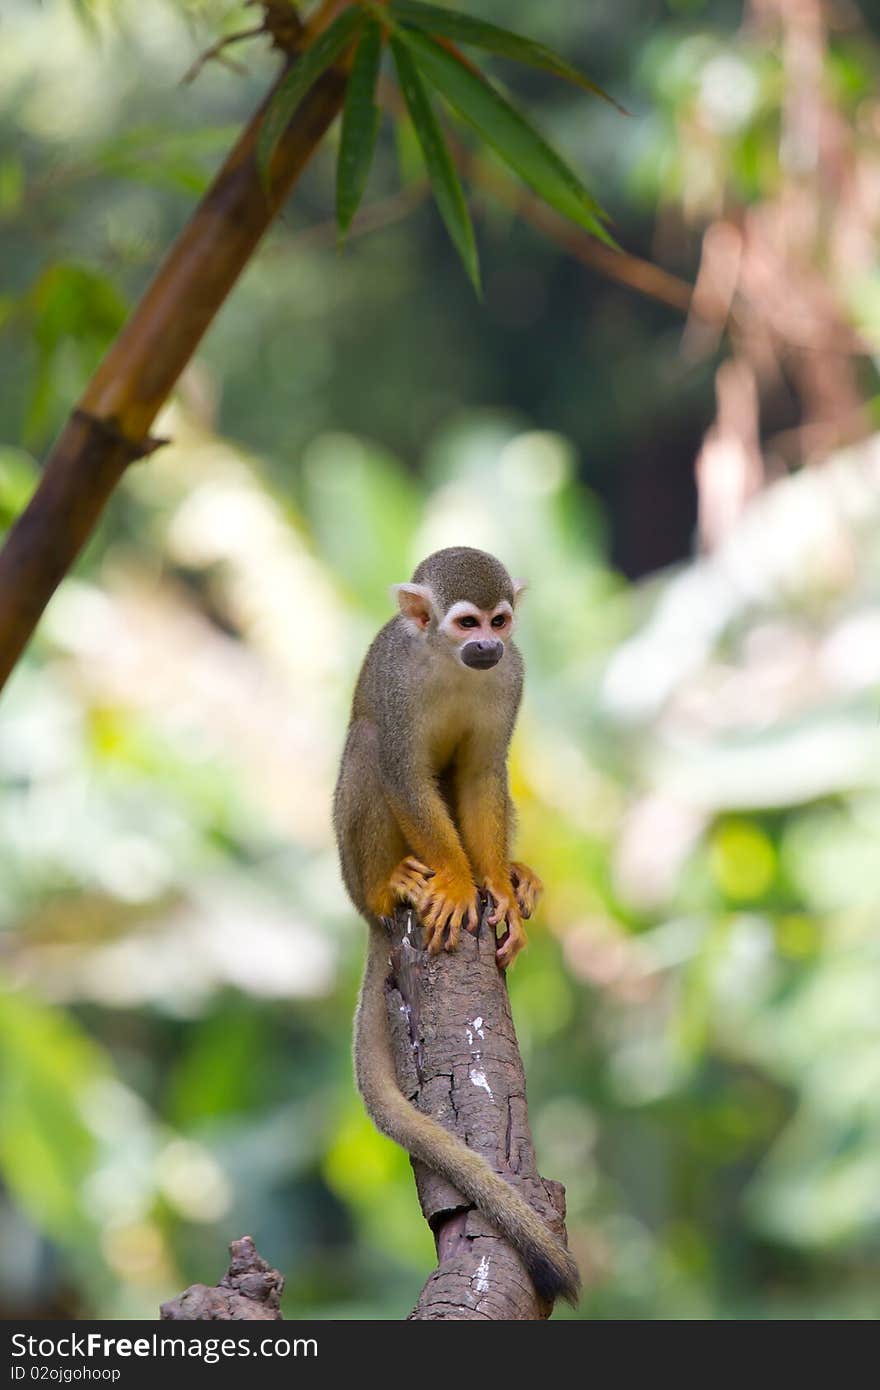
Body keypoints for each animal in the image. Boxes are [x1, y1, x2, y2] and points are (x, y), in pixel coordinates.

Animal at [332, 542, 581, 1301]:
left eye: (501, 622)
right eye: (467, 621)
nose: (486, 646)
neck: (448, 663)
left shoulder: (514, 675)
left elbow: (481, 774)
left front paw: (493, 884)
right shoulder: (398, 683)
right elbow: (403, 770)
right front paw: (451, 879)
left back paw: (513, 876)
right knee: (367, 743)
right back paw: (396, 886)